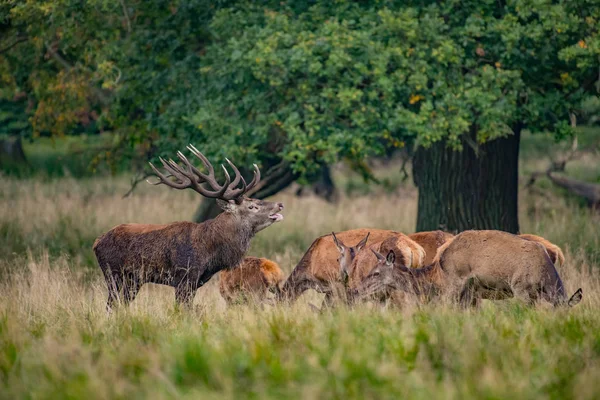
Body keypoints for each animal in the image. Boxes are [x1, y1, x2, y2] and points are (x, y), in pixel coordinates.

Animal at [92, 145, 284, 310]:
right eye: (252, 206)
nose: (280, 204)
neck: (211, 253)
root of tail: (96, 243)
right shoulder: (185, 276)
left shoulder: (196, 281)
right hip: (114, 274)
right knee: (110, 306)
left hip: (133, 281)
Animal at [352, 230, 580, 308]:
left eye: (376, 273)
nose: (355, 289)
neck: (436, 277)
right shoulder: (469, 293)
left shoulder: (455, 285)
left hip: (521, 286)